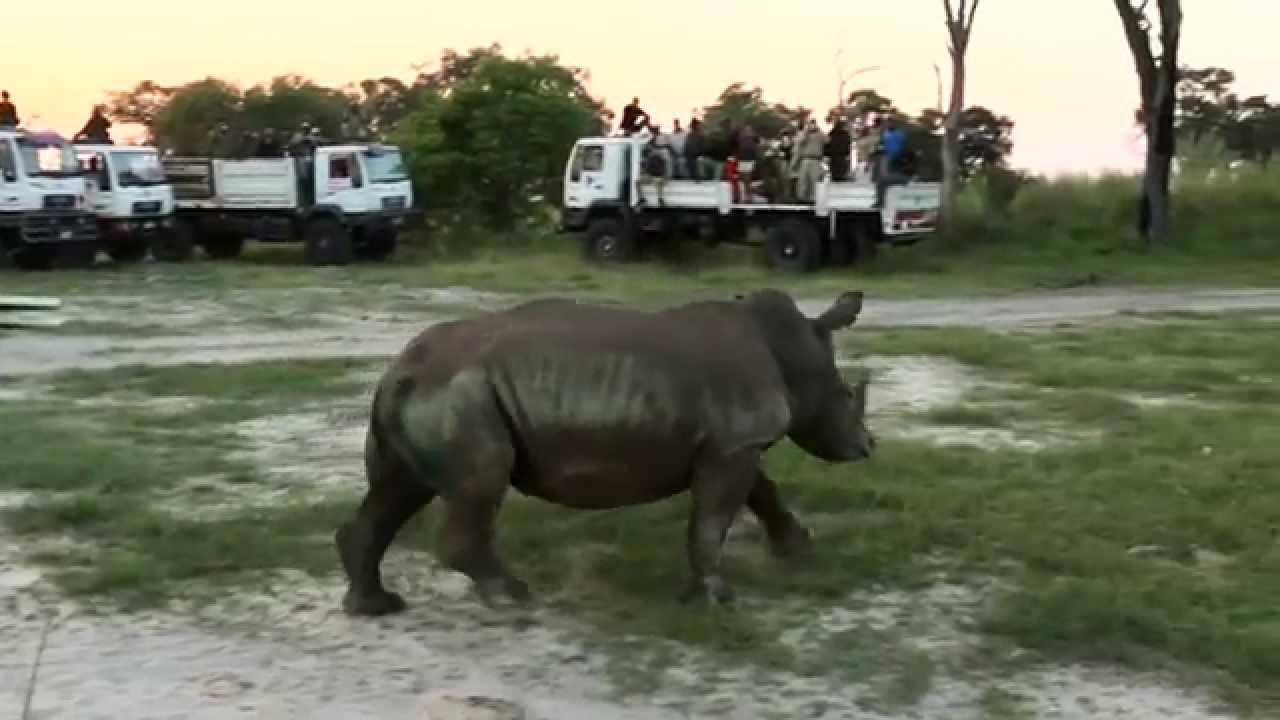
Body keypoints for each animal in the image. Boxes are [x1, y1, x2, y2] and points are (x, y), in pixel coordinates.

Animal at [335, 288, 874, 616]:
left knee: (399, 488)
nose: (868, 446)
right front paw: (719, 599)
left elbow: (762, 492)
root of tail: (397, 372)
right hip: (462, 394)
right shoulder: (733, 444)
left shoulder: (731, 445)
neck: (791, 350)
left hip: (432, 394)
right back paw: (513, 597)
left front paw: (798, 548)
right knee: (479, 484)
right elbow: (712, 521)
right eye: (847, 395)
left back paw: (375, 606)